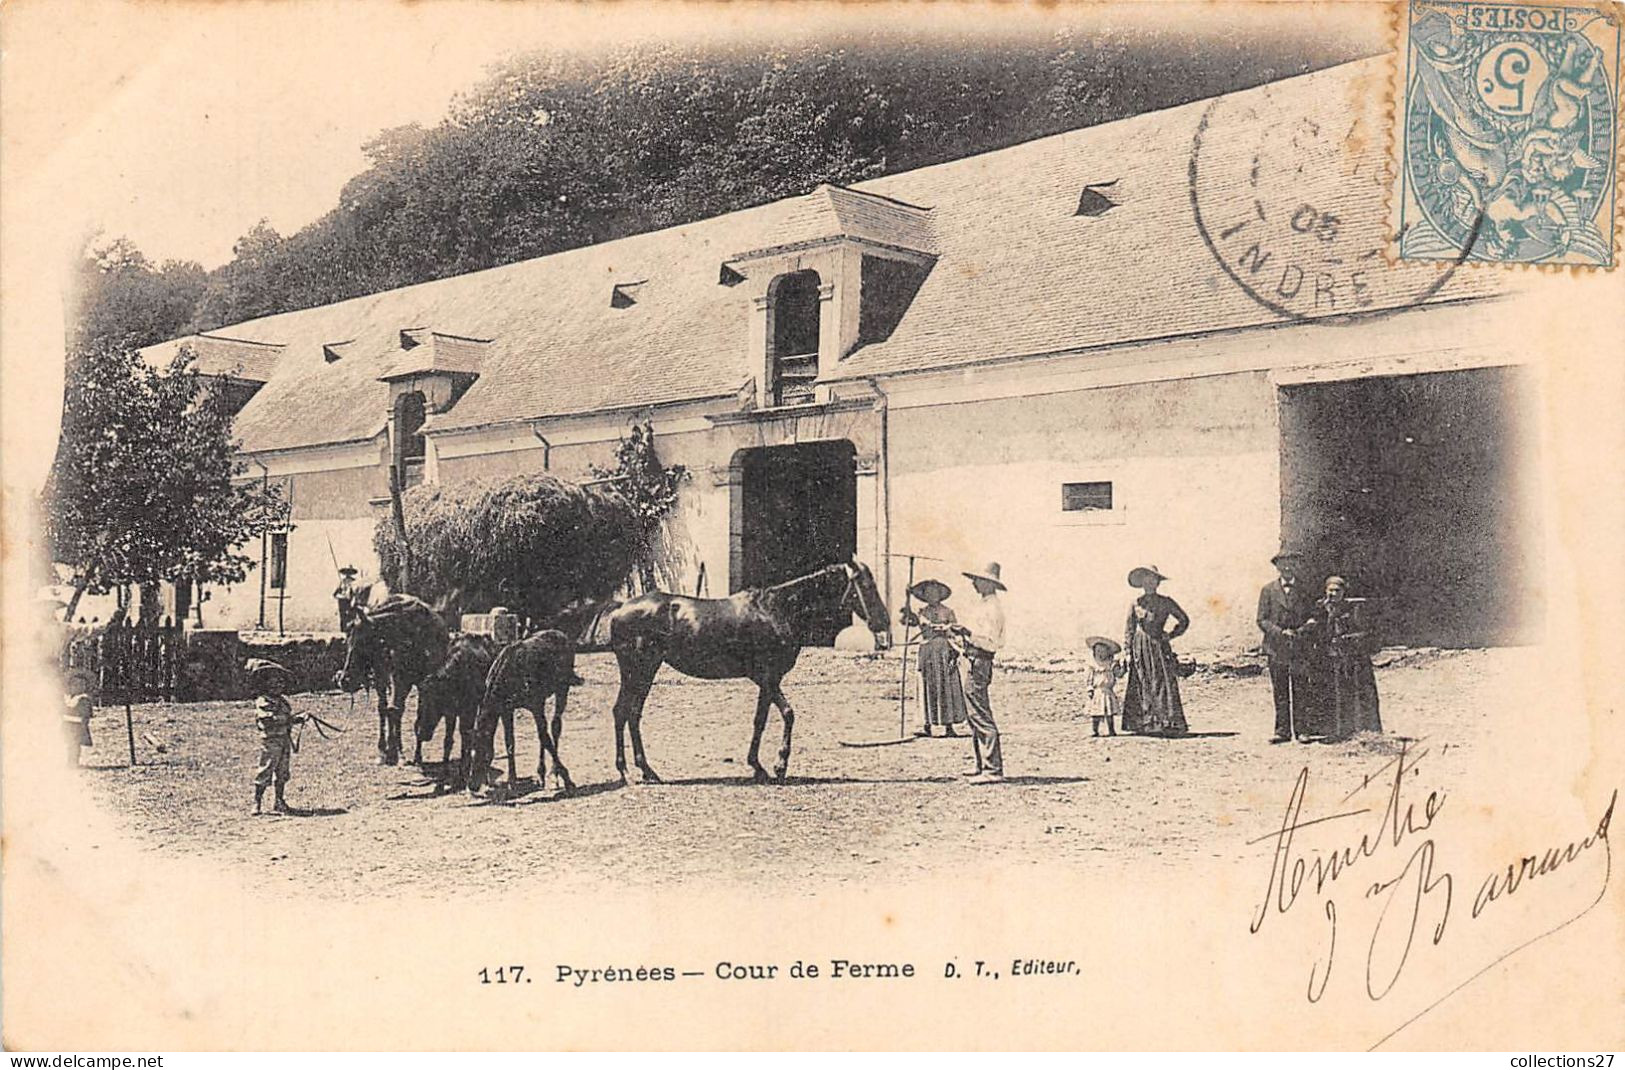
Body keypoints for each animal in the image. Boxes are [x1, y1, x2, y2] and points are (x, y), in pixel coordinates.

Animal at [464, 627, 578, 796]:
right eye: (469, 753)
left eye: (483, 754)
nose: (472, 786)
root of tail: (561, 634)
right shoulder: (506, 710)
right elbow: (510, 742)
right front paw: (512, 783)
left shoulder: (535, 704)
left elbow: (546, 738)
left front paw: (568, 780)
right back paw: (541, 775)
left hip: (562, 689)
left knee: (554, 727)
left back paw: (553, 774)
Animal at [588, 559, 890, 783]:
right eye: (865, 584)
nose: (883, 623)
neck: (777, 611)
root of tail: (621, 607)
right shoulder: (768, 677)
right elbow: (788, 714)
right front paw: (779, 765)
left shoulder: (767, 680)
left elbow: (761, 720)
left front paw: (758, 766)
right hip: (638, 669)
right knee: (624, 712)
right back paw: (632, 771)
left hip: (643, 670)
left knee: (629, 713)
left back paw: (642, 771)